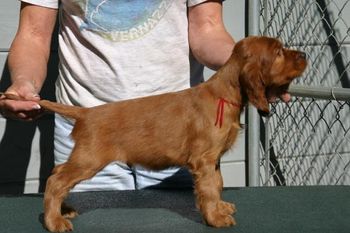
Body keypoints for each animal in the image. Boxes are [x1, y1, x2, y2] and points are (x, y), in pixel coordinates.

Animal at [35, 35, 304, 232]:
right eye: (279, 52)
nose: (304, 55)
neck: (225, 93)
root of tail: (87, 112)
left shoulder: (213, 159)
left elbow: (217, 184)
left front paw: (220, 208)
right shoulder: (203, 159)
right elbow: (209, 189)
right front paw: (215, 218)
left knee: (57, 173)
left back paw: (63, 209)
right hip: (89, 159)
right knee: (56, 181)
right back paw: (54, 221)